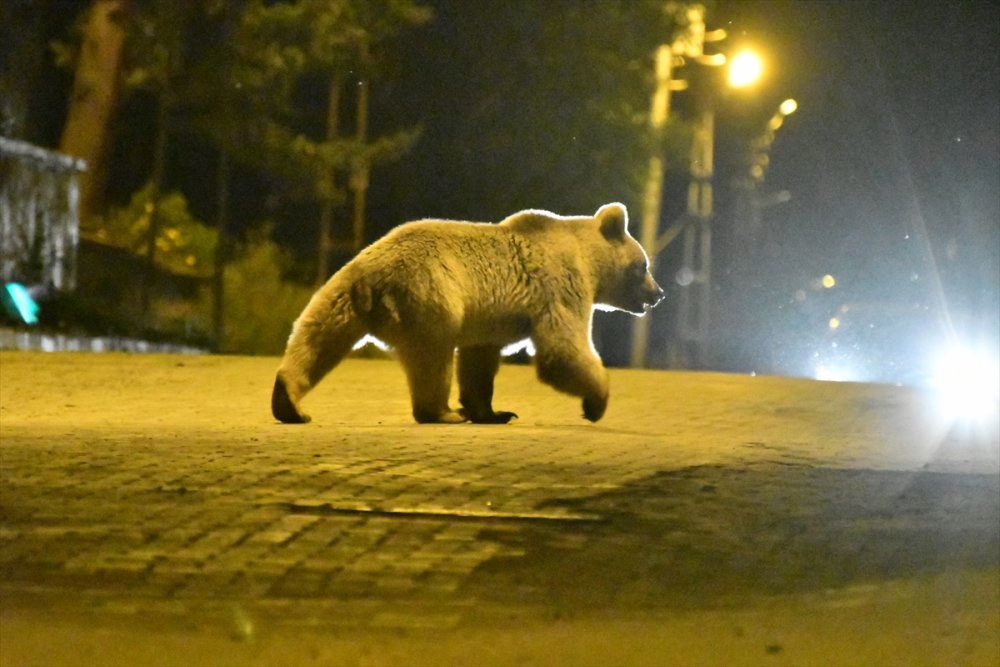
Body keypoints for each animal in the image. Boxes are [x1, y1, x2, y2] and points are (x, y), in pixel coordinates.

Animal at [274, 201, 664, 426]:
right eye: (643, 265)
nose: (658, 293)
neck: (588, 261)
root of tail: (373, 280)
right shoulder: (559, 286)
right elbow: (562, 350)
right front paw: (596, 402)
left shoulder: (489, 320)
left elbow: (479, 364)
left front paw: (494, 412)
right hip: (431, 295)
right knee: (433, 356)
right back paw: (442, 412)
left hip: (344, 292)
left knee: (316, 336)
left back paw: (288, 402)